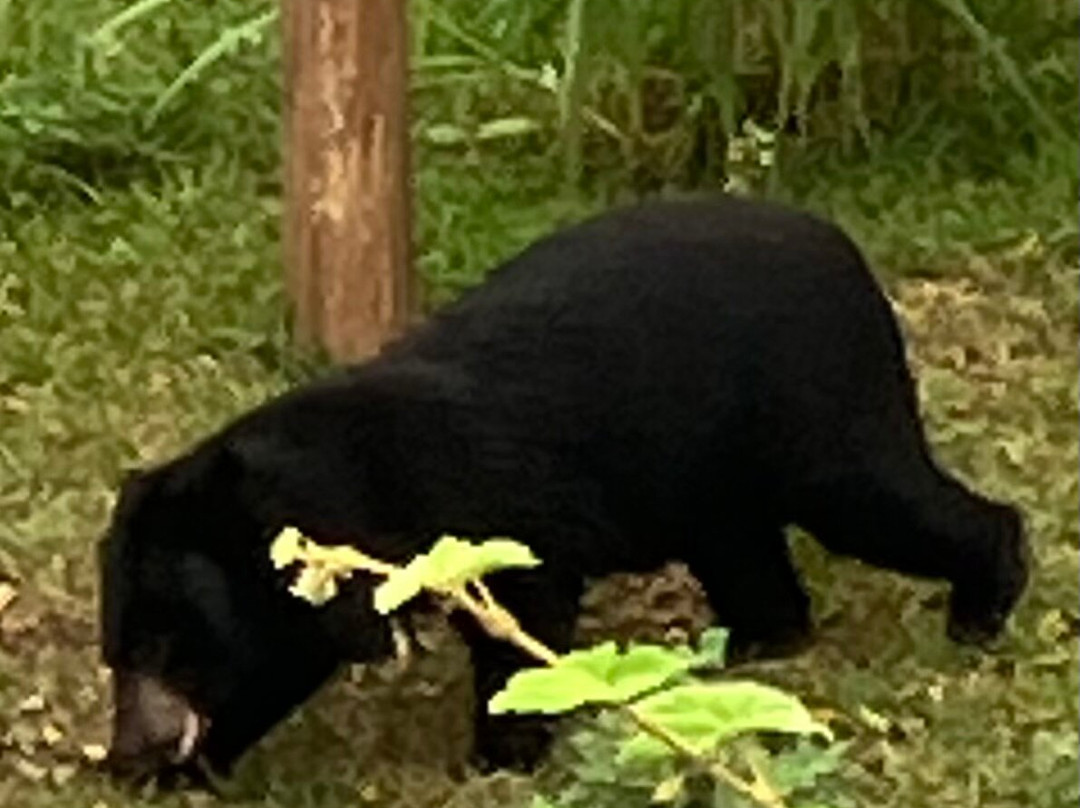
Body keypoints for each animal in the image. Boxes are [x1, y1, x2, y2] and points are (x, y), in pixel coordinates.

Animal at [98, 195, 1029, 784]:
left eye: (166, 647)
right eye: (118, 650)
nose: (129, 757)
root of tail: (846, 250)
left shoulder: (483, 515)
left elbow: (525, 609)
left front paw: (498, 756)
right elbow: (279, 661)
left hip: (815, 406)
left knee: (879, 501)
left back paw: (980, 606)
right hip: (713, 470)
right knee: (746, 550)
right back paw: (753, 646)